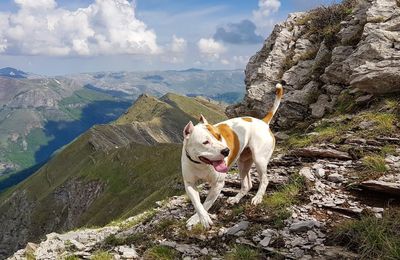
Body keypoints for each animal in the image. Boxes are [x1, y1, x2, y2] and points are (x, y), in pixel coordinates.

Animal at [183, 83, 282, 228]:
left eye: (219, 136)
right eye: (205, 142)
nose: (226, 151)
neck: (201, 164)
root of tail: (263, 122)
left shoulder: (218, 184)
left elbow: (206, 203)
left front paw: (198, 219)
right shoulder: (190, 184)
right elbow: (198, 204)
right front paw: (200, 218)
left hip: (259, 160)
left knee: (264, 180)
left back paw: (258, 197)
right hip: (243, 163)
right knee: (247, 185)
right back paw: (236, 199)